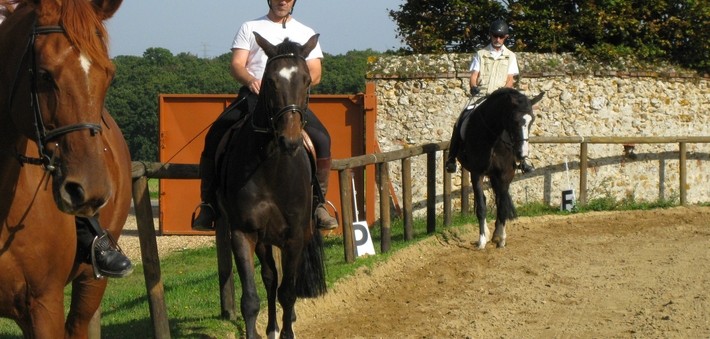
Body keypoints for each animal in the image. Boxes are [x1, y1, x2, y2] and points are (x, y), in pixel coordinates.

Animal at [217, 32, 328, 339]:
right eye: (270, 81)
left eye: (306, 80)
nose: (289, 140)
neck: (271, 166)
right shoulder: (243, 233)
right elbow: (251, 299)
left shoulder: (295, 236)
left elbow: (288, 293)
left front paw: (289, 329)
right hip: (264, 239)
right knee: (269, 278)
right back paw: (272, 328)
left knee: (284, 284)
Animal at [456, 88, 544, 250]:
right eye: (514, 120)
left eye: (532, 120)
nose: (522, 154)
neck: (493, 137)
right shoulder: (477, 173)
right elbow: (481, 207)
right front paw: (482, 240)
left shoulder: (504, 174)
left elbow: (502, 205)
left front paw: (500, 237)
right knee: (483, 200)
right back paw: (486, 232)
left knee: (497, 199)